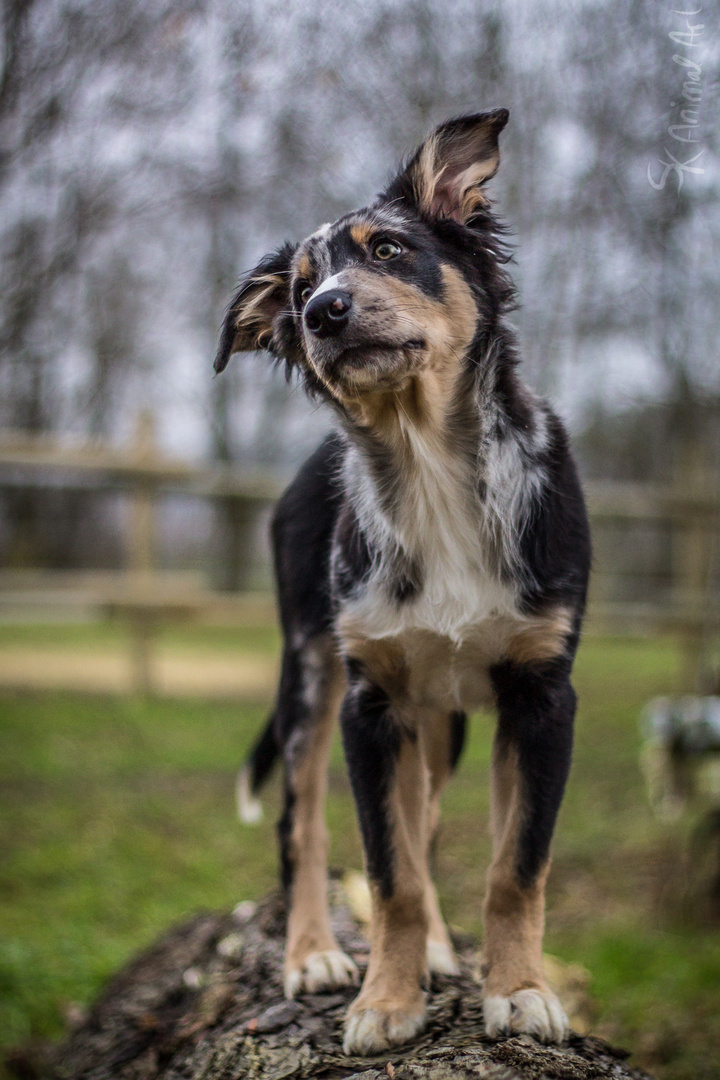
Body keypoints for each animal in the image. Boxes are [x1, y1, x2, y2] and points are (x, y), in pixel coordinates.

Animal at [212, 109, 591, 1054]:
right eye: (300, 287)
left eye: (386, 249)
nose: (323, 312)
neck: (430, 471)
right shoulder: (370, 701)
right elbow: (391, 873)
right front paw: (385, 1001)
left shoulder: (543, 694)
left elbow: (513, 865)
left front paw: (519, 990)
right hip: (311, 675)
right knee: (303, 823)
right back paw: (313, 954)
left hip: (440, 719)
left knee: (424, 815)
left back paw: (442, 956)